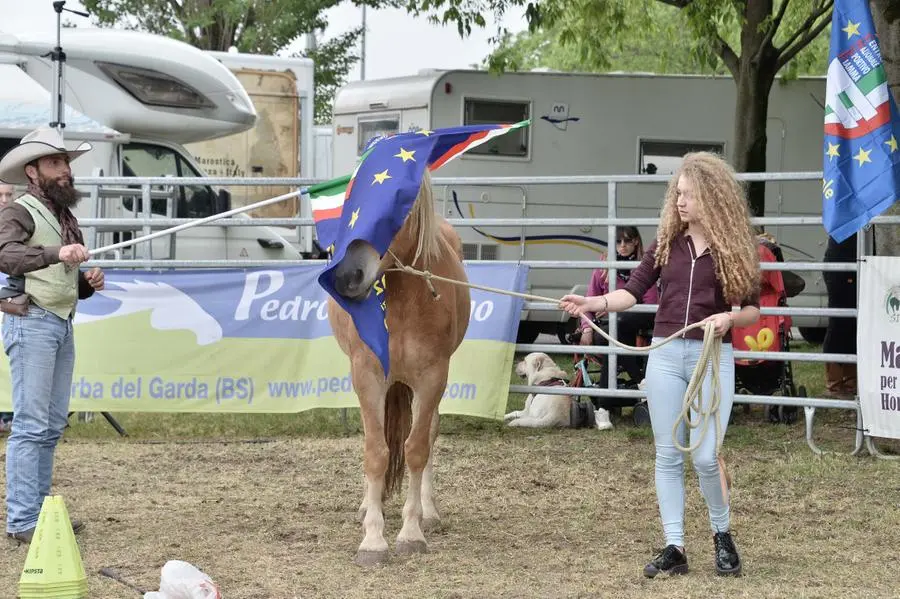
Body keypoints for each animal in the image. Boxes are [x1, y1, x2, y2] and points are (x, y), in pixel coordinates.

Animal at [328, 170, 472, 568]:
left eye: (395, 205)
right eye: (351, 199)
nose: (348, 275)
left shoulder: (432, 378)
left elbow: (417, 448)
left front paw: (411, 533)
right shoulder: (368, 376)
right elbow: (376, 451)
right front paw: (373, 540)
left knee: (428, 434)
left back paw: (429, 512)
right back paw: (368, 506)